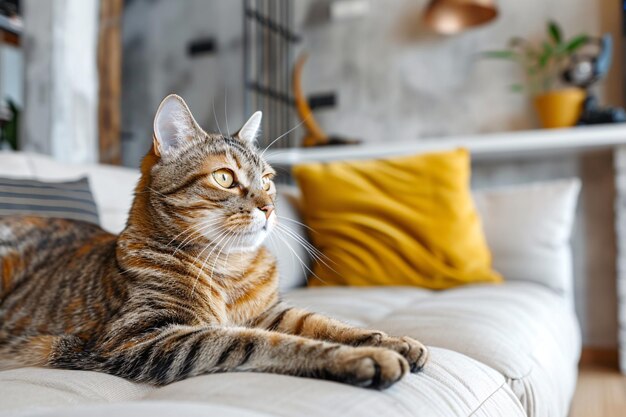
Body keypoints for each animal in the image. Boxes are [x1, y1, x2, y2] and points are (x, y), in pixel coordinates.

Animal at [0, 94, 424, 386]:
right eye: (224, 177)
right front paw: (363, 357)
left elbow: (326, 323)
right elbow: (260, 343)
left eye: (268, 179)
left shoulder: (271, 312)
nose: (269, 206)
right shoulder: (143, 338)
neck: (229, 266)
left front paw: (392, 341)